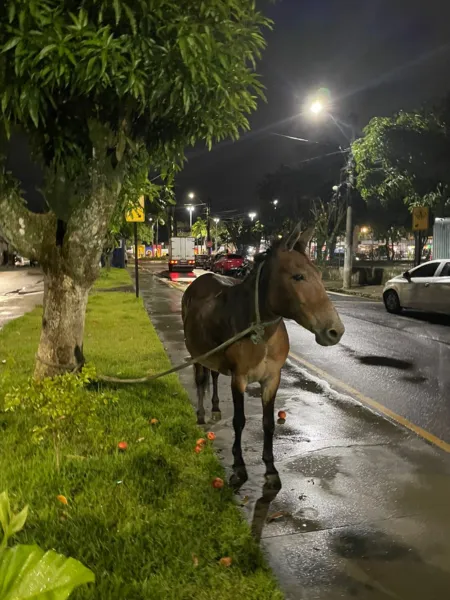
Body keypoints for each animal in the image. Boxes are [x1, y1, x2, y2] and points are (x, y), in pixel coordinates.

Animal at [181, 227, 342, 490]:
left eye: (319, 273)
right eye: (298, 276)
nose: (335, 331)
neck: (260, 331)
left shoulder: (272, 378)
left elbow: (268, 423)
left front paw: (271, 470)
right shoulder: (239, 378)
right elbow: (239, 420)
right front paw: (239, 468)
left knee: (213, 375)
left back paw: (215, 408)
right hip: (197, 353)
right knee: (201, 379)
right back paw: (202, 413)